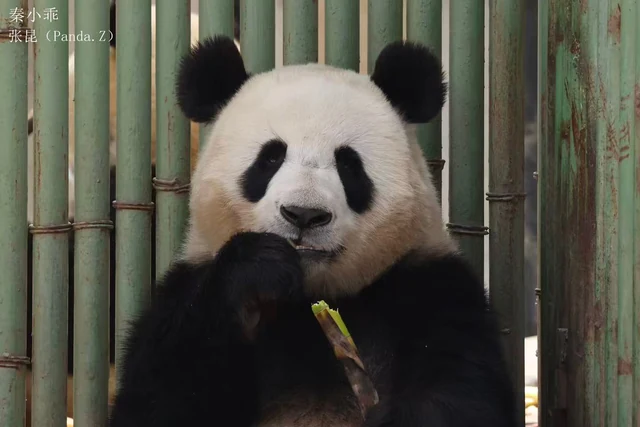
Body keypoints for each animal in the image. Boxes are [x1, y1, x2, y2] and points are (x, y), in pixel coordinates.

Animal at [108, 35, 517, 426]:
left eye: (349, 165)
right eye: (270, 158)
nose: (304, 214)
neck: (312, 296)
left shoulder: (434, 290)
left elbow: (459, 397)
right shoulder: (184, 292)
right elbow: (158, 399)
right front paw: (257, 269)